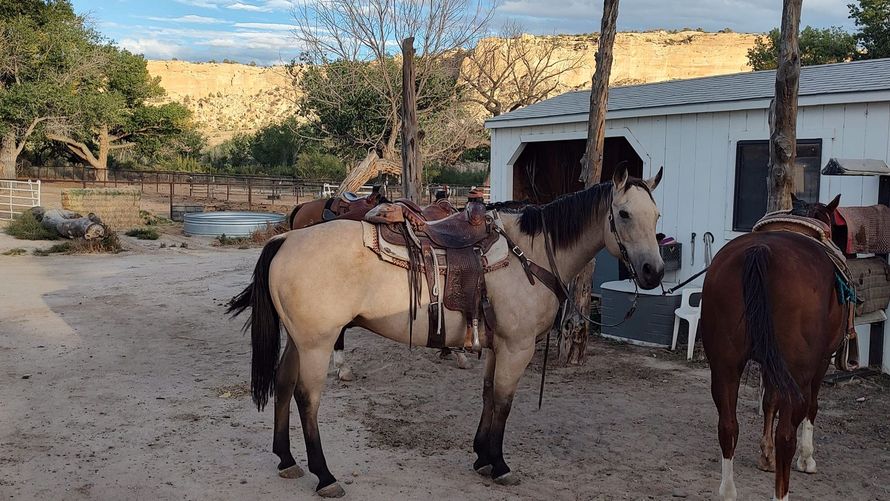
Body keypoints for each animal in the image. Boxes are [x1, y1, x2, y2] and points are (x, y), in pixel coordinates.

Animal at [228, 164, 665, 497]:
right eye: (624, 214)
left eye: (656, 216)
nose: (653, 272)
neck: (531, 254)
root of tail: (286, 239)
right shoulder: (517, 347)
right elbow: (504, 402)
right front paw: (500, 464)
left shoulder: (498, 346)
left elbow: (488, 395)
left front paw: (482, 456)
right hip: (316, 344)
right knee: (307, 399)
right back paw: (325, 475)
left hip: (298, 341)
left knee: (283, 384)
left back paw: (287, 460)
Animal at [701, 194, 847, 501]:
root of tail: (761, 250)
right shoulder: (819, 364)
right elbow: (811, 407)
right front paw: (807, 458)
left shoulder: (769, 363)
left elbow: (769, 401)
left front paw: (765, 456)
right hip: (797, 373)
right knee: (786, 436)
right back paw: (781, 492)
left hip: (724, 365)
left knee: (728, 426)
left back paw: (728, 490)